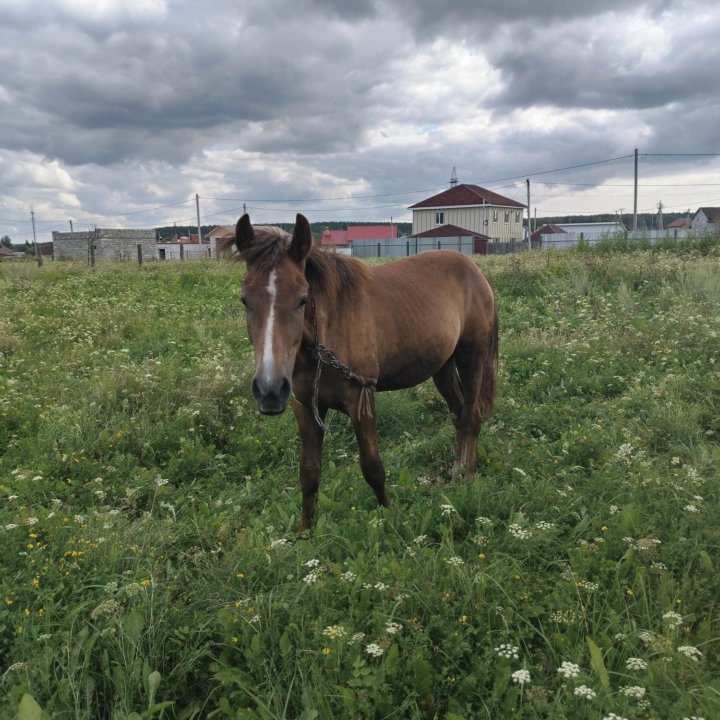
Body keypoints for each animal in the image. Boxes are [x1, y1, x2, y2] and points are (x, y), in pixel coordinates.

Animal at [228, 211, 498, 532]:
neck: (329, 330)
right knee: (457, 414)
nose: (269, 390)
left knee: (471, 416)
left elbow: (372, 467)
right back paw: (455, 472)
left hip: (471, 358)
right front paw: (305, 532)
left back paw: (468, 477)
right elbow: (309, 473)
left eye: (302, 299)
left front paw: (390, 519)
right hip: (442, 367)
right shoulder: (304, 406)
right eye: (245, 300)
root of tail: (475, 272)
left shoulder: (361, 398)